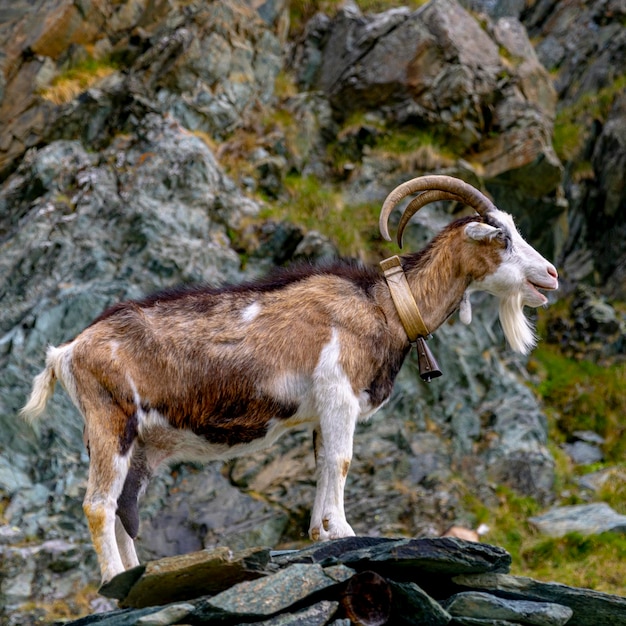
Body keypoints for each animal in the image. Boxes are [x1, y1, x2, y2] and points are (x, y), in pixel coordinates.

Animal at [20, 173, 556, 584]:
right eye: (501, 238)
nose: (550, 275)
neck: (383, 305)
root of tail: (67, 351)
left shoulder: (321, 413)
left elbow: (322, 465)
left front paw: (321, 533)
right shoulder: (339, 394)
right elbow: (342, 461)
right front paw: (345, 532)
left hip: (142, 443)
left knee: (124, 507)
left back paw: (135, 575)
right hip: (110, 422)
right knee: (98, 505)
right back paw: (112, 579)